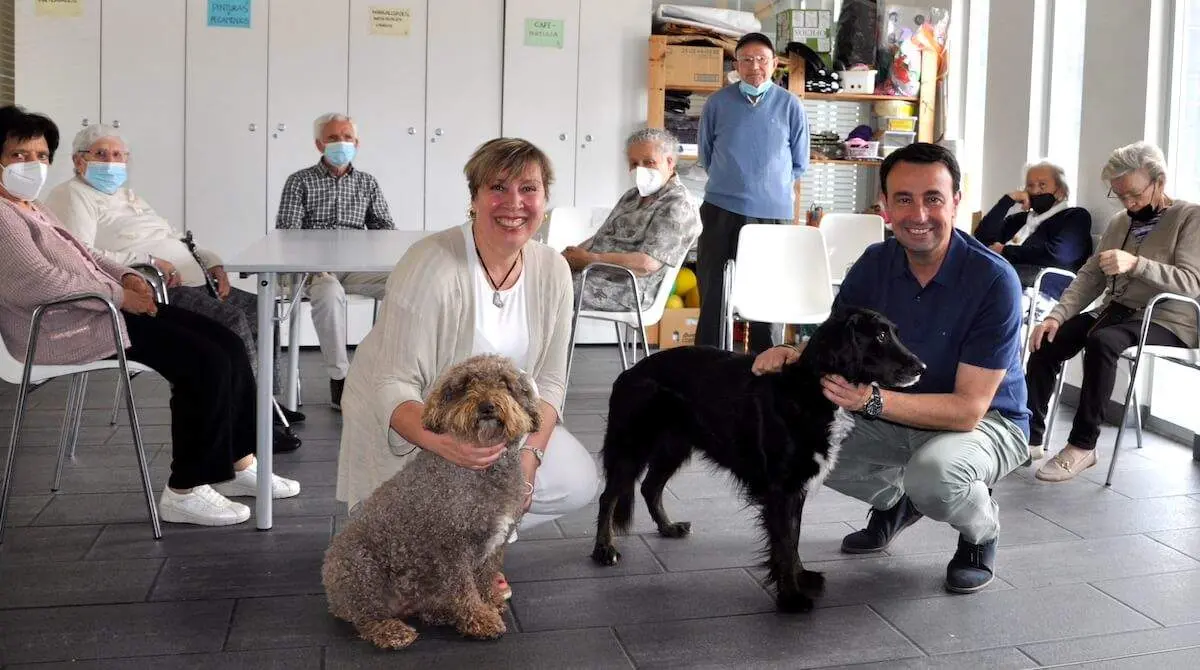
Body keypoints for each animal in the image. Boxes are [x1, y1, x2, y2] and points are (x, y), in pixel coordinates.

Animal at [321, 355, 542, 653]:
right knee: (367, 616)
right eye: (465, 385)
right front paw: (481, 619)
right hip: (361, 569)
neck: (484, 475)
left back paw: (441, 613)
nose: (487, 406)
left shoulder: (495, 544)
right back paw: (392, 631)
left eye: (505, 384)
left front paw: (490, 604)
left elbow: (483, 581)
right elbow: (464, 590)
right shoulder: (452, 546)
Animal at [595, 309, 921, 614]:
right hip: (631, 447)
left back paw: (667, 527)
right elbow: (785, 543)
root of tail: (629, 373)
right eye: (880, 336)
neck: (810, 389)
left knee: (650, 487)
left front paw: (801, 578)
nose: (922, 368)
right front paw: (791, 597)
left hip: (673, 447)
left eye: (894, 333)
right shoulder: (781, 490)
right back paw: (604, 549)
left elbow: (793, 537)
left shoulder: (796, 488)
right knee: (608, 497)